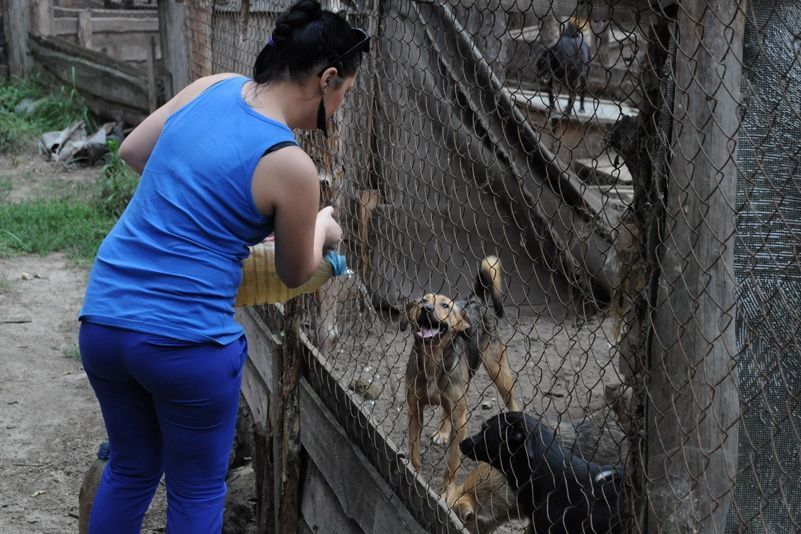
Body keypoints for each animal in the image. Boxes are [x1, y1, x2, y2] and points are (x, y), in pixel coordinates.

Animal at [400, 258, 520, 504]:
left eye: (445, 305)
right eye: (423, 300)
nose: (426, 309)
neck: (432, 359)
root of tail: (474, 298)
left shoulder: (461, 421)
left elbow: (452, 464)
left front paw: (446, 493)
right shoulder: (414, 410)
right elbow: (414, 452)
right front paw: (415, 477)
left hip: (498, 370)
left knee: (511, 399)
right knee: (445, 410)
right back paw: (442, 432)